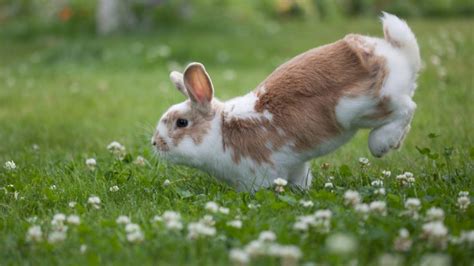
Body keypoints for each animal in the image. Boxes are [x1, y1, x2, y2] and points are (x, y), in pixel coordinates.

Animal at [151, 12, 418, 191]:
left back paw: (382, 144)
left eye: (181, 123)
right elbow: (300, 179)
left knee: (407, 108)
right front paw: (302, 192)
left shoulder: (258, 173)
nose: (155, 143)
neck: (222, 131)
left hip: (361, 107)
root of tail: (395, 53)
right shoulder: (295, 164)